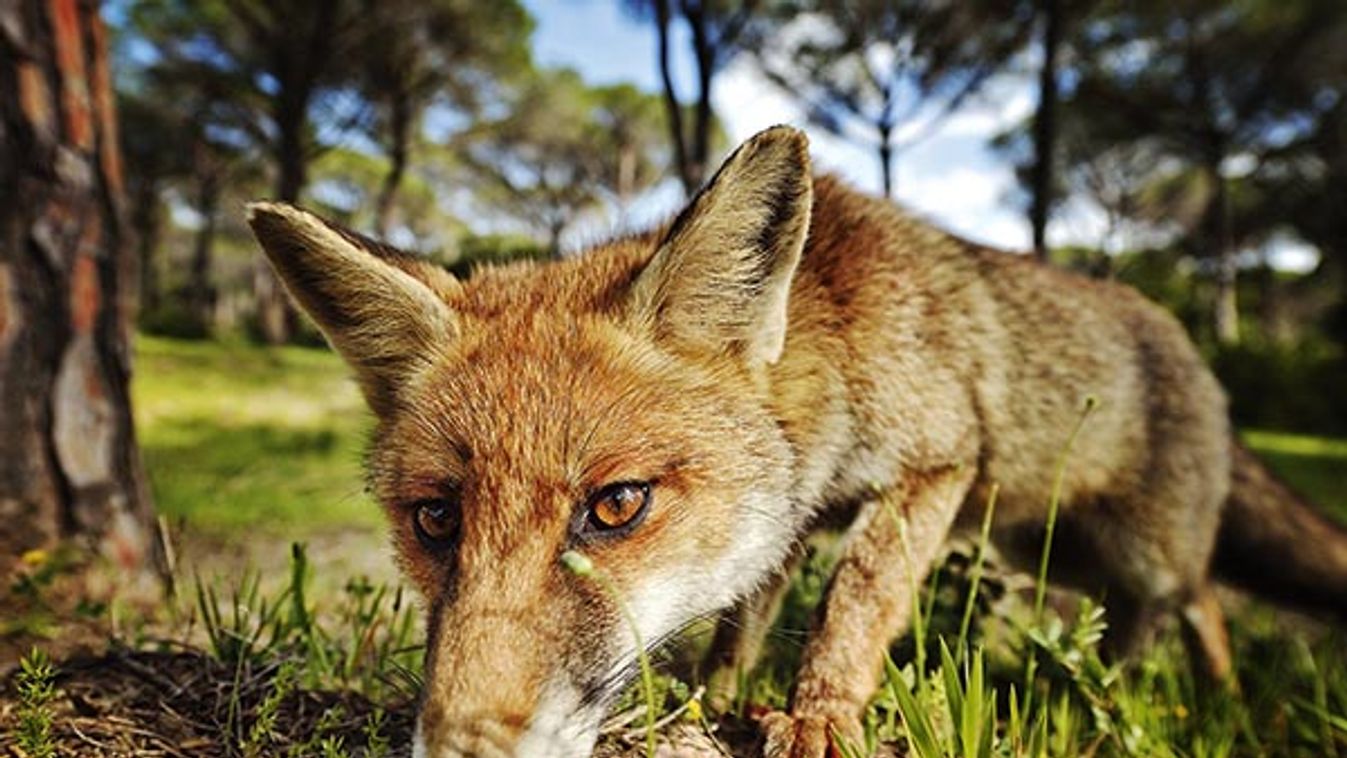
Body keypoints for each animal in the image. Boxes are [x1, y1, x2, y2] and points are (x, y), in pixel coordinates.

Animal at [247, 127, 1347, 753]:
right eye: (436, 519)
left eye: (616, 505)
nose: (464, 746)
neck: (836, 350)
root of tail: (1189, 344)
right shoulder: (788, 512)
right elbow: (744, 614)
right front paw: (717, 694)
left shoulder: (935, 459)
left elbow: (853, 602)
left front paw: (819, 714)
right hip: (1062, 551)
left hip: (1130, 550)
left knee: (1199, 599)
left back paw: (1206, 701)